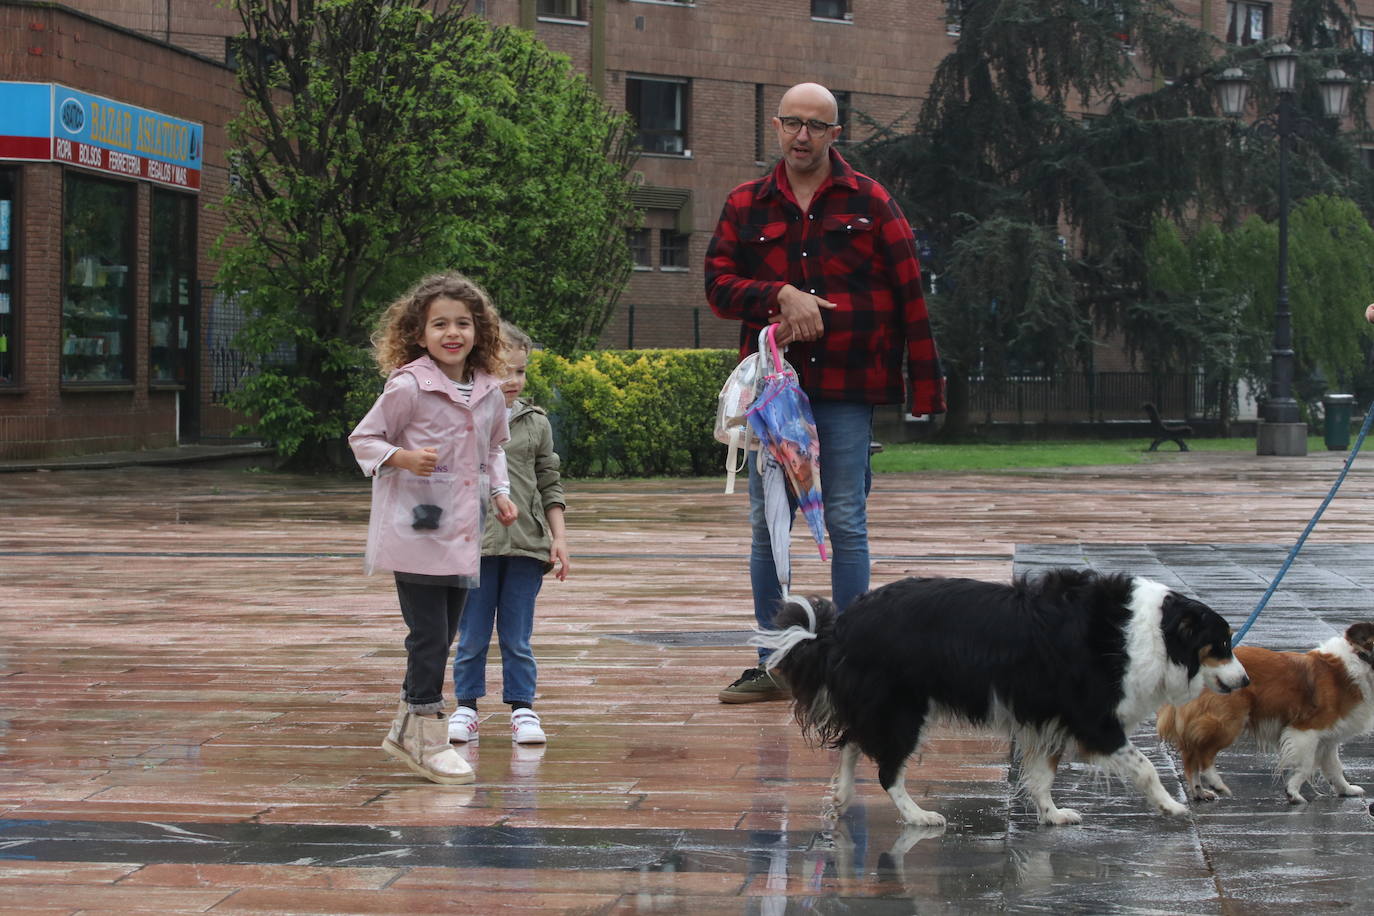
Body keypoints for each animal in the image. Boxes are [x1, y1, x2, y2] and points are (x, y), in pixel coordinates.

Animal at [1159, 623, 1374, 802]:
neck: (1360, 661)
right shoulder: (1306, 730)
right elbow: (1304, 766)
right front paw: (1293, 792)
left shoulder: (1328, 738)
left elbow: (1335, 768)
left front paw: (1346, 789)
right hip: (1227, 722)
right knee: (1202, 754)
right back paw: (1216, 783)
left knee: (1191, 757)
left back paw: (1199, 792)